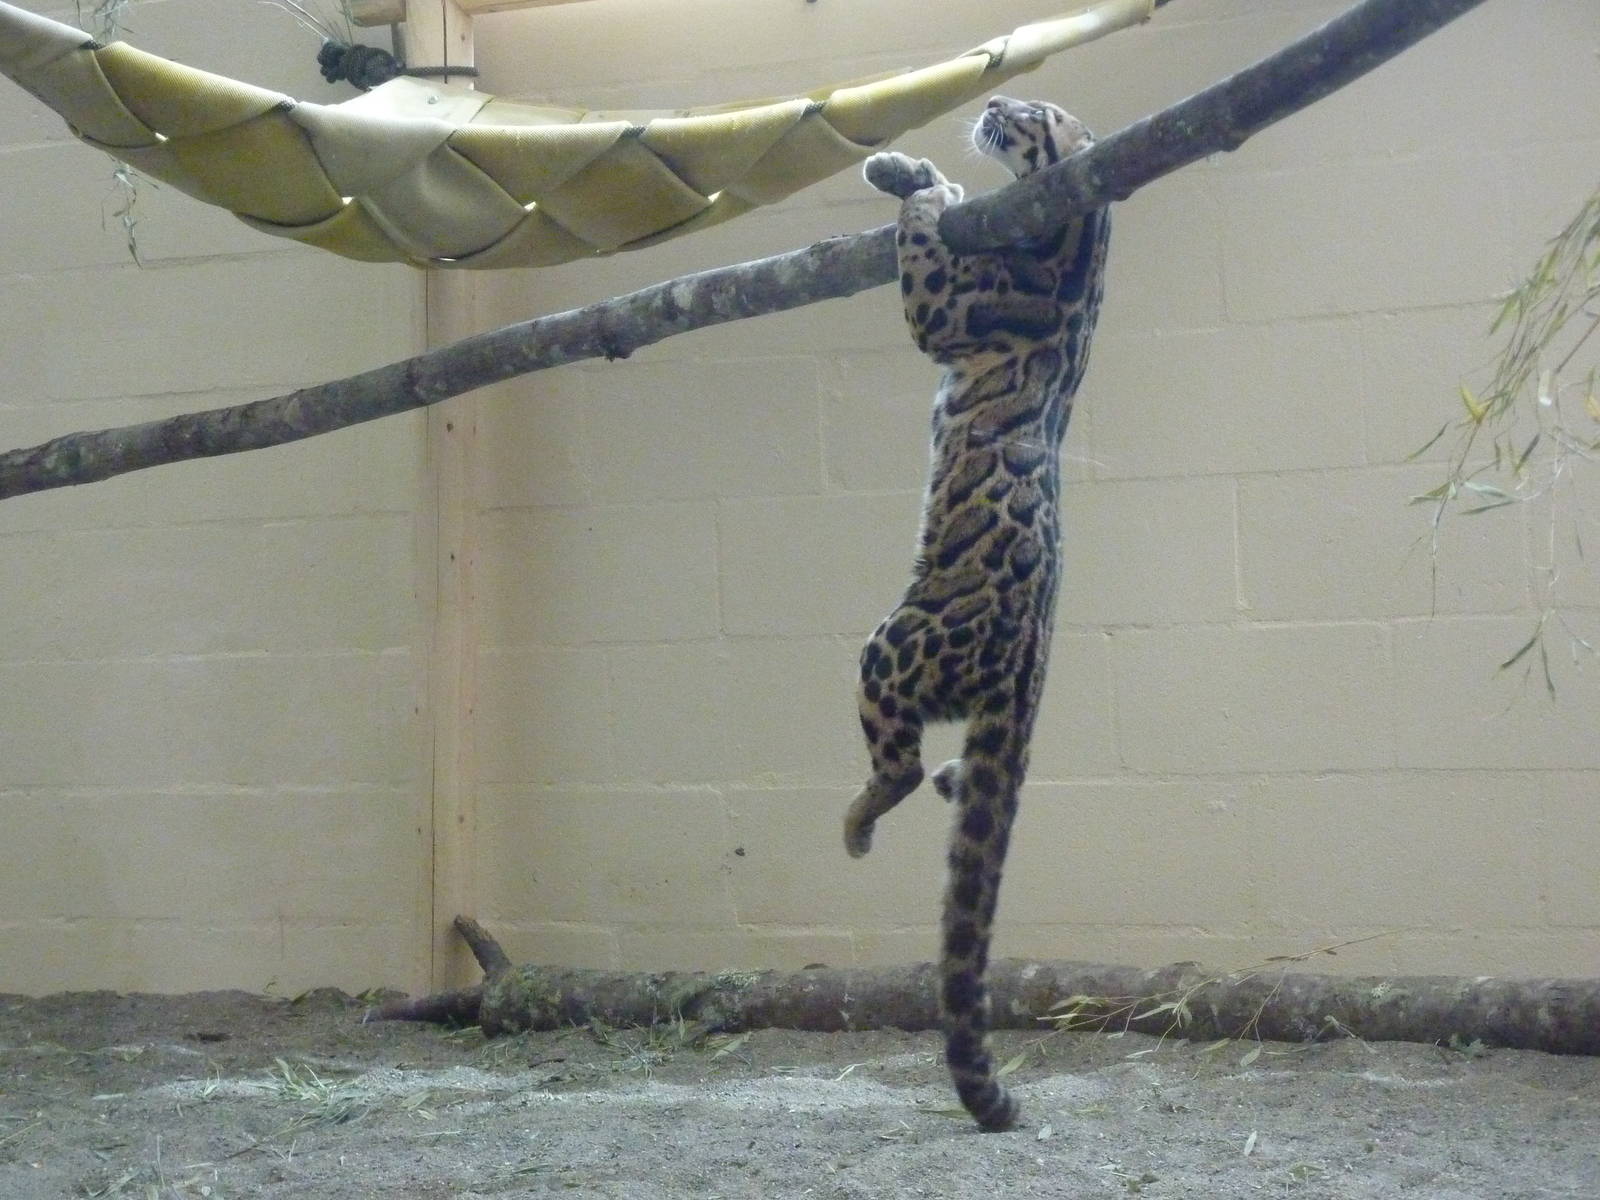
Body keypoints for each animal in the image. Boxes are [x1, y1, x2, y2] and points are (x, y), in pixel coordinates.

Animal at [845, 95, 1111, 1132]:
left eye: (1039, 111)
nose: (995, 101)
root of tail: (1024, 678)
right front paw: (908, 168)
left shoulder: (950, 311)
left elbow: (925, 262)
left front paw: (922, 194)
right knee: (960, 778)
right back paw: (955, 782)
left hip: (890, 648)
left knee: (900, 766)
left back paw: (861, 819)